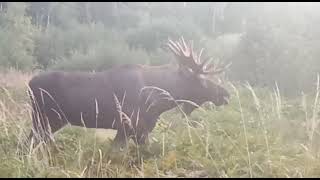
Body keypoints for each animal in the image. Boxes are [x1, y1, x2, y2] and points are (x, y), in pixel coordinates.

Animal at [25, 36, 230, 149]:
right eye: (202, 81)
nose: (226, 94)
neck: (158, 102)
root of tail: (30, 83)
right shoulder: (132, 126)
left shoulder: (132, 129)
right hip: (46, 118)